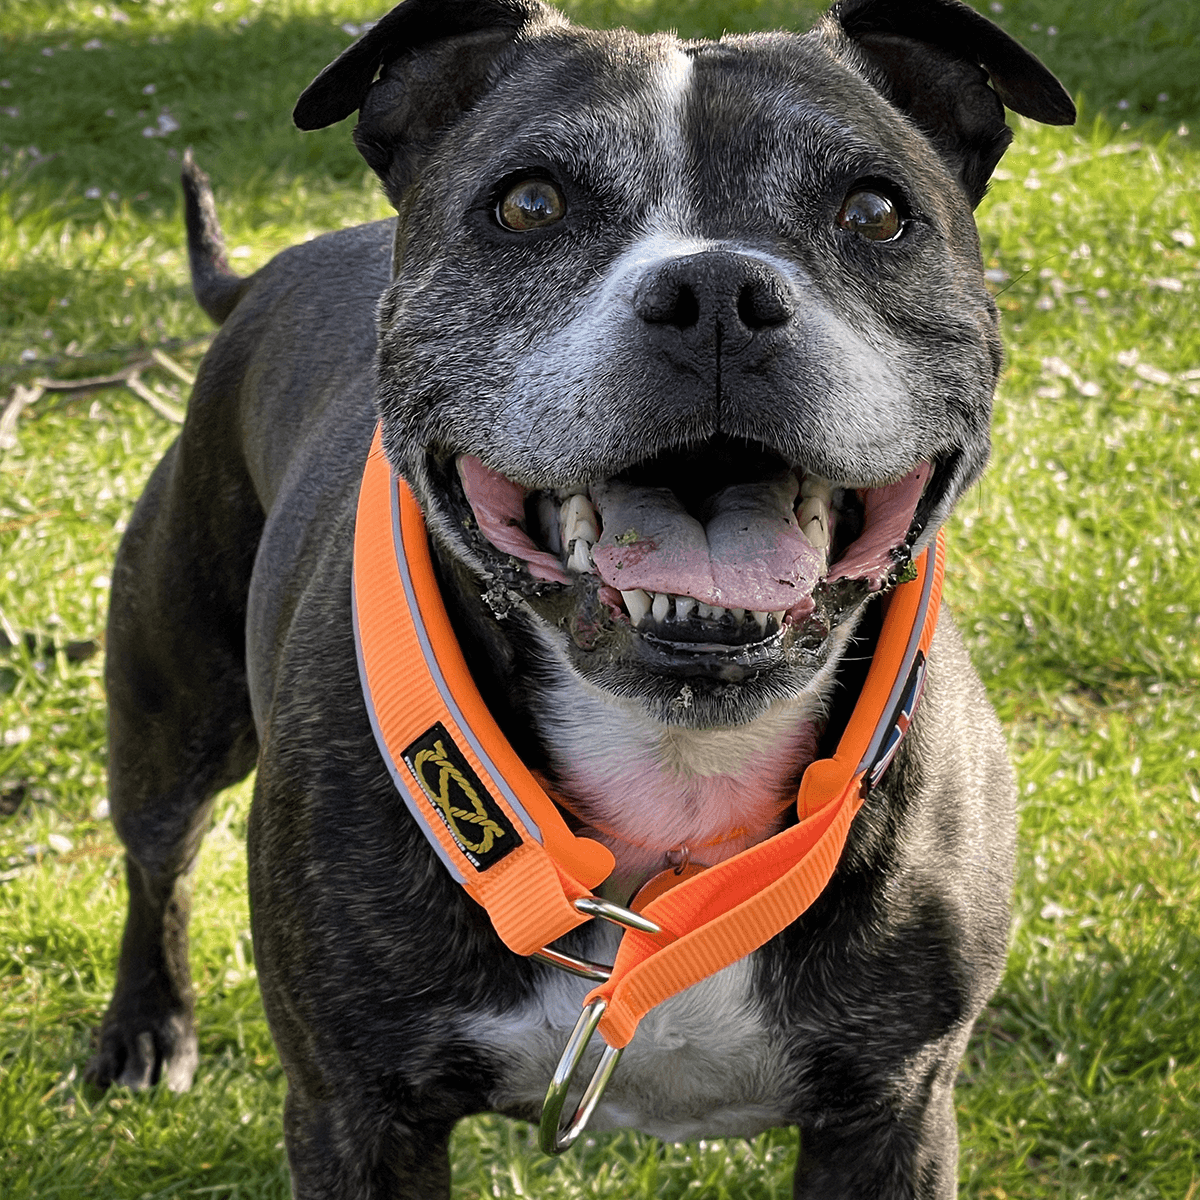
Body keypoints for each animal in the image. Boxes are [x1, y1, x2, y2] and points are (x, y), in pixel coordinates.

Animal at [87, 4, 1080, 1195]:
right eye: (529, 204)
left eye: (876, 213)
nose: (716, 295)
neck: (677, 769)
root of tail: (265, 273)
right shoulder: (353, 1112)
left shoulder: (895, 1111)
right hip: (171, 706)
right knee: (158, 860)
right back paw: (146, 1028)